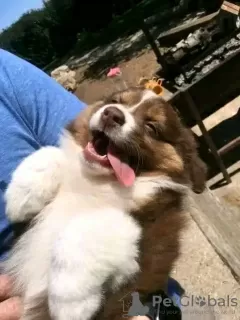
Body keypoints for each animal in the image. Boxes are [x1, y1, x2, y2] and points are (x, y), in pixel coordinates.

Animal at [3, 87, 206, 320]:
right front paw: (21, 194)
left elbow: (90, 226)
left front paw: (70, 300)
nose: (112, 114)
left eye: (151, 127)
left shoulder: (149, 236)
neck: (98, 181)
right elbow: (52, 152)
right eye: (115, 101)